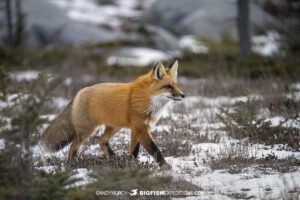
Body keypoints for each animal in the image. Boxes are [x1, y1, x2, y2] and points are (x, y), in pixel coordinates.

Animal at [41, 59, 184, 167]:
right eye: (168, 86)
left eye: (176, 85)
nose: (183, 95)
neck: (148, 99)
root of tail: (79, 93)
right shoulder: (141, 129)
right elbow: (155, 151)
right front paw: (166, 168)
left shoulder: (137, 129)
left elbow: (134, 151)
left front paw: (131, 164)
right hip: (86, 131)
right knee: (73, 147)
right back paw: (72, 164)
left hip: (115, 127)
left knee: (101, 140)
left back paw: (113, 158)